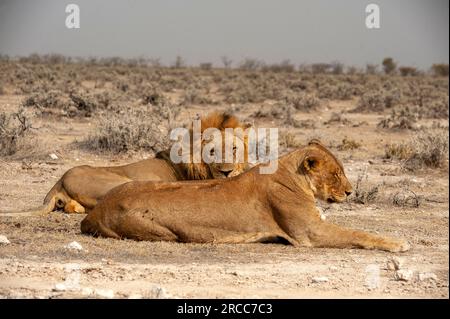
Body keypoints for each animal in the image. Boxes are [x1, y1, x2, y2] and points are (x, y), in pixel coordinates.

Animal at [81, 140, 412, 252]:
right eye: (335, 174)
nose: (350, 191)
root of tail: (94, 212)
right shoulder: (310, 233)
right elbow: (360, 233)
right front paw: (399, 243)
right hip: (164, 232)